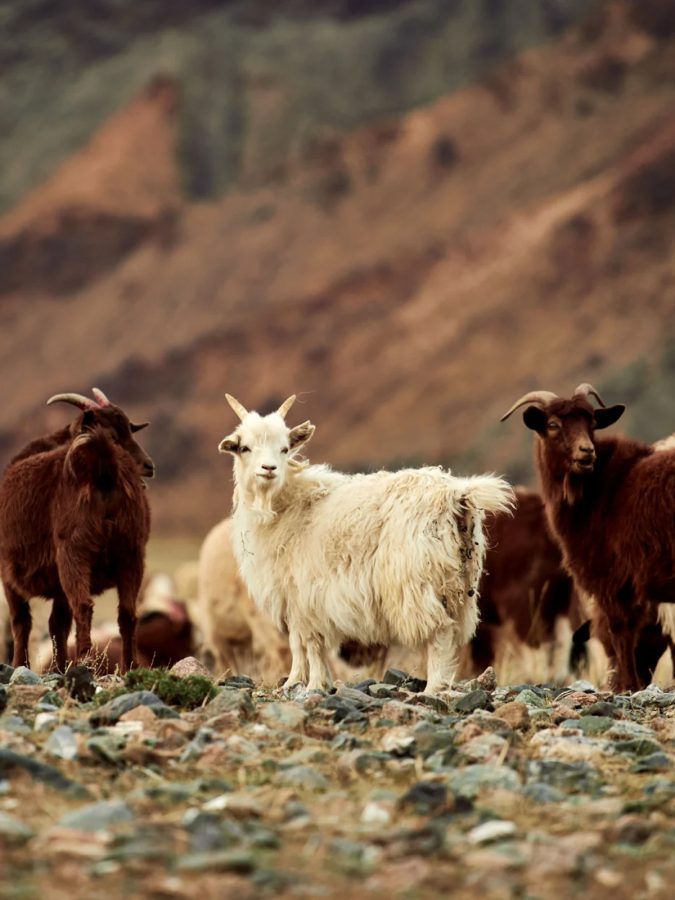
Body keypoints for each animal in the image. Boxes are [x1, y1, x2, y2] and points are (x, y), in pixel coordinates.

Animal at [0, 389, 153, 672]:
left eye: (130, 429)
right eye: (116, 435)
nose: (149, 466)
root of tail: (104, 467)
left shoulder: (9, 573)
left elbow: (22, 621)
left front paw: (21, 665)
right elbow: (56, 624)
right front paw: (58, 666)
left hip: (75, 551)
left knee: (83, 606)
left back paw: (84, 661)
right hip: (131, 552)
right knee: (127, 613)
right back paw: (129, 666)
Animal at [218, 393, 514, 695]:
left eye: (285, 448)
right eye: (244, 448)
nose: (269, 469)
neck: (288, 504)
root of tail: (455, 494)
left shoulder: (306, 594)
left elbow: (310, 643)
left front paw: (313, 684)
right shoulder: (293, 596)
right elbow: (298, 643)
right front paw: (295, 681)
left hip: (417, 581)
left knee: (439, 631)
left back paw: (433, 688)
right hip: (459, 584)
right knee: (453, 632)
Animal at [501, 382, 675, 691]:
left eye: (592, 422)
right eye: (553, 424)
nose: (586, 452)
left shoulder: (610, 577)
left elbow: (620, 628)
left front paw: (626, 684)